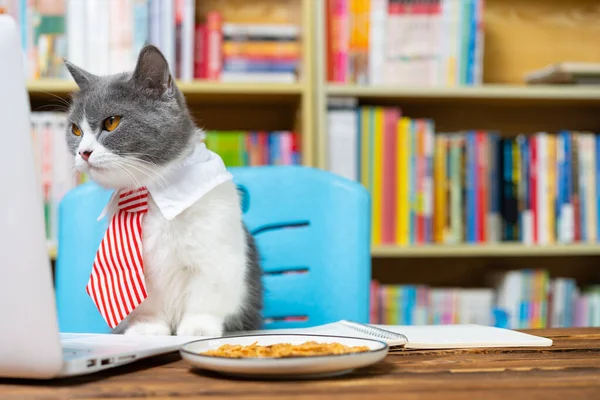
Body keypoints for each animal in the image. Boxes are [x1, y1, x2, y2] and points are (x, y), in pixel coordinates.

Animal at [62, 44, 262, 338]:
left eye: (111, 122)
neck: (151, 193)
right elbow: (145, 300)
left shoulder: (217, 247)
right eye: (75, 130)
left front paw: (198, 328)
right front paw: (147, 328)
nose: (83, 152)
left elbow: (209, 290)